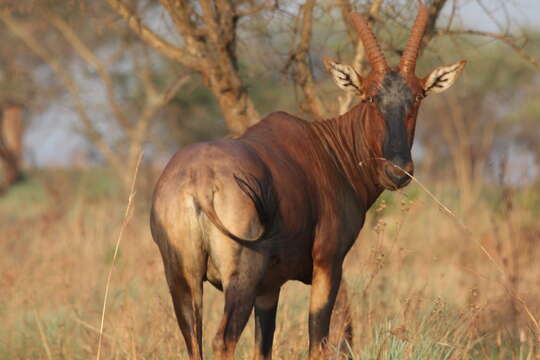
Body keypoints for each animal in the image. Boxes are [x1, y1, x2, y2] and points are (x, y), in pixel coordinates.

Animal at [151, 1, 464, 358]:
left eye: (418, 96)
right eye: (370, 97)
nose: (397, 171)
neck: (327, 146)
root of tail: (199, 181)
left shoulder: (269, 288)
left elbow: (264, 346)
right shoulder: (327, 263)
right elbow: (319, 338)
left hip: (181, 278)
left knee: (194, 340)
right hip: (240, 277)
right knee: (223, 338)